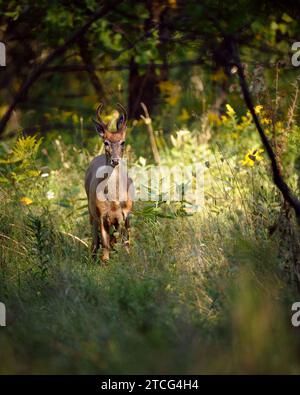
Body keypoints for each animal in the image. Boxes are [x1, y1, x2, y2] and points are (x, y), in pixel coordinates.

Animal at [85, 103, 133, 262]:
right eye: (106, 142)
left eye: (123, 142)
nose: (115, 160)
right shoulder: (101, 215)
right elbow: (105, 242)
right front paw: (105, 261)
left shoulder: (125, 214)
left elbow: (122, 240)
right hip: (91, 211)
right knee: (95, 240)